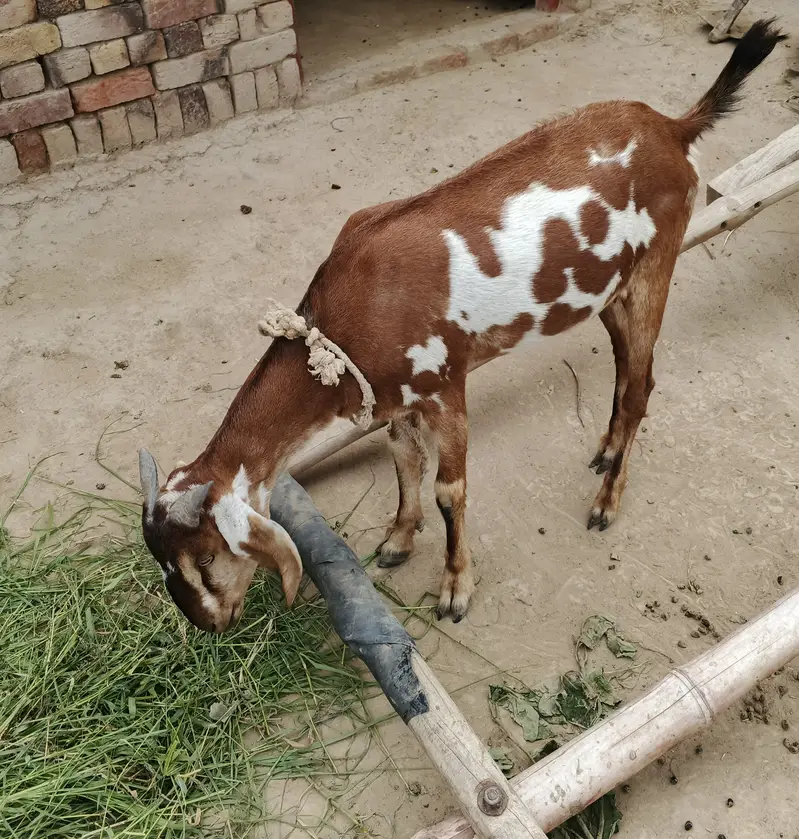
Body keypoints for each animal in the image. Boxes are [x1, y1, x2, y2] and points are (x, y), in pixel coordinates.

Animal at [139, 20, 784, 631]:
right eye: (164, 563)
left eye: (206, 557)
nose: (209, 624)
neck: (347, 318)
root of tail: (673, 127)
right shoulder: (395, 398)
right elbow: (404, 461)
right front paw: (398, 540)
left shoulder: (445, 385)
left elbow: (450, 490)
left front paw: (455, 589)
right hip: (609, 290)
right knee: (629, 371)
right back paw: (605, 451)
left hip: (656, 266)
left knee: (642, 385)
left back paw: (606, 502)